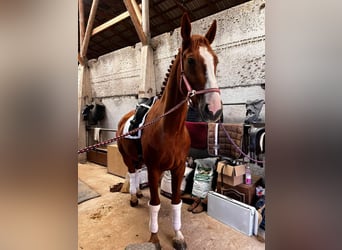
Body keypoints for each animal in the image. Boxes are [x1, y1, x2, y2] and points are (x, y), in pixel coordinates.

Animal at [117, 13, 222, 248]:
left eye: (215, 60)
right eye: (191, 60)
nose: (214, 109)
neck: (170, 129)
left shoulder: (178, 168)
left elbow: (175, 202)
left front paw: (178, 235)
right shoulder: (155, 168)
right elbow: (156, 204)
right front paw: (154, 237)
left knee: (138, 175)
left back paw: (139, 194)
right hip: (128, 157)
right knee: (132, 173)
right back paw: (133, 196)